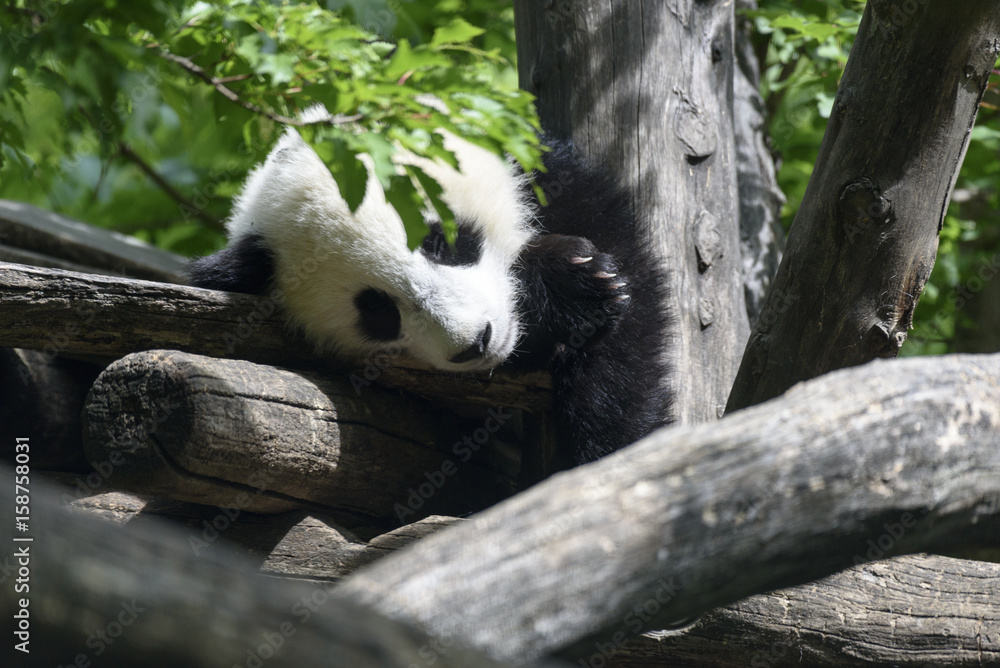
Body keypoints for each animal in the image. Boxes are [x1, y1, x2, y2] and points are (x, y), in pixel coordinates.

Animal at [188, 113, 671, 469]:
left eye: (438, 241)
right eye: (379, 312)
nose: (475, 343)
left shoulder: (551, 180)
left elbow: (625, 329)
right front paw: (562, 290)